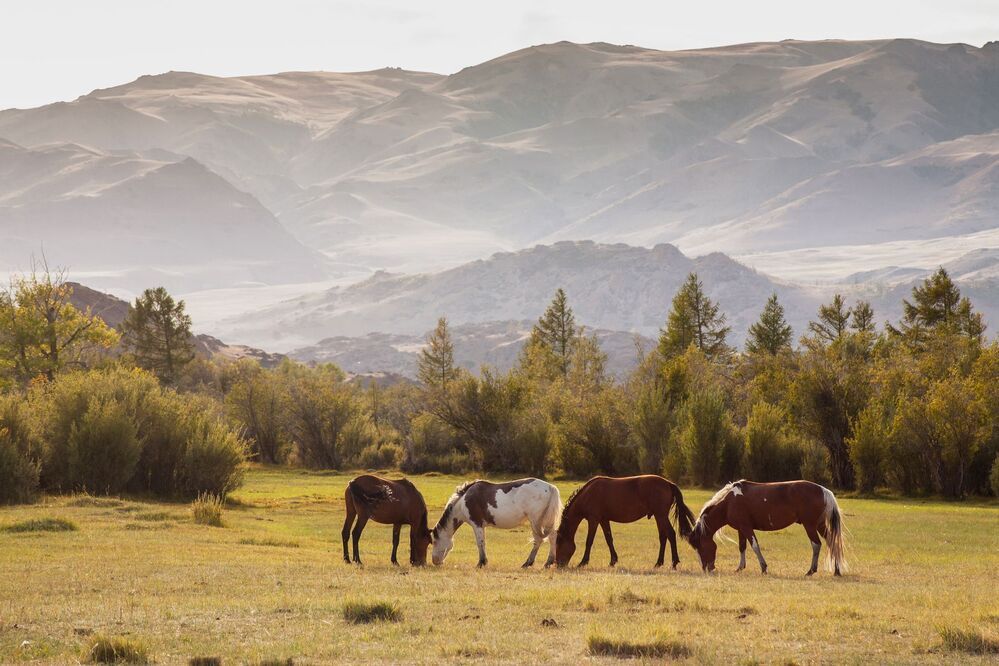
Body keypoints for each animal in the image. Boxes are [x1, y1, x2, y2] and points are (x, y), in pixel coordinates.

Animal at [431, 478, 561, 568]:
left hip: (536, 521)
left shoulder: (477, 524)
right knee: (552, 536)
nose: (435, 561)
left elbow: (480, 543)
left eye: (434, 542)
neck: (463, 501)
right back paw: (546, 562)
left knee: (539, 540)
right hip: (545, 521)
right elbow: (483, 543)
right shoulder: (481, 526)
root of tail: (550, 487)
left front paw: (481, 563)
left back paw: (529, 563)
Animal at [555, 475, 694, 569]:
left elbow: (589, 541)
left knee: (670, 534)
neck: (588, 494)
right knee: (663, 537)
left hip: (661, 515)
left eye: (559, 543)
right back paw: (658, 563)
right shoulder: (604, 520)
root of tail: (668, 483)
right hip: (658, 516)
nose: (558, 565)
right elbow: (609, 539)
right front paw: (613, 561)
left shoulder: (593, 519)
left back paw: (674, 563)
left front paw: (583, 562)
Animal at [686, 479, 847, 576]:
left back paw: (811, 570)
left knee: (816, 544)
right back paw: (837, 570)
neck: (729, 502)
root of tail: (824, 491)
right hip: (820, 525)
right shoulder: (741, 529)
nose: (707, 568)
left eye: (700, 546)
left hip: (810, 526)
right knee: (832, 542)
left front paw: (763, 567)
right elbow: (742, 547)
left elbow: (755, 546)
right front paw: (740, 567)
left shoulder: (746, 527)